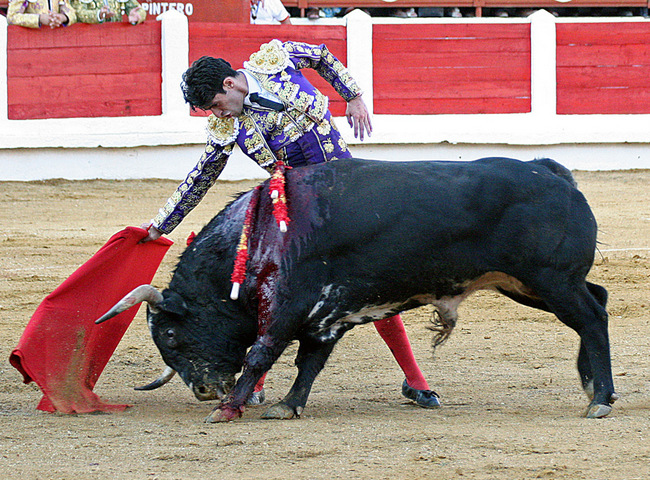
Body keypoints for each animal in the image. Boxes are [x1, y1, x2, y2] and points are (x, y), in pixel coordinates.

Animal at [98, 158, 616, 420]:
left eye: (169, 335)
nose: (205, 390)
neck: (260, 234)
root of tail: (552, 173)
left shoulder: (287, 308)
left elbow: (262, 353)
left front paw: (229, 410)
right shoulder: (325, 319)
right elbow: (309, 363)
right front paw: (287, 406)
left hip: (551, 280)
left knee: (592, 318)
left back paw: (601, 399)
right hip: (529, 285)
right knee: (600, 301)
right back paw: (592, 386)